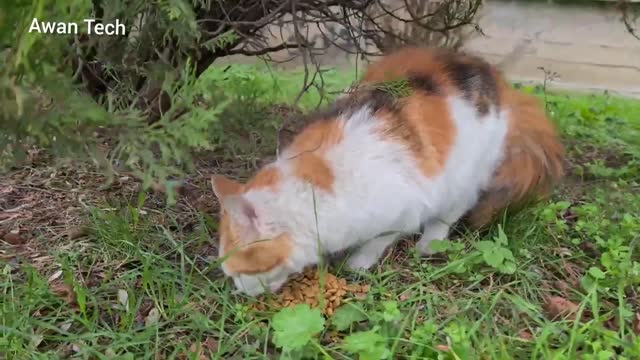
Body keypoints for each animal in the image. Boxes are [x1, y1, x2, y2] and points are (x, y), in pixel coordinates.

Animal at [211, 47, 564, 296]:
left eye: (240, 272)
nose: (239, 291)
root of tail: (499, 80)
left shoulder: (405, 208)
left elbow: (379, 239)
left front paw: (357, 264)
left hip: (467, 173)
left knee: (453, 210)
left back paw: (430, 243)